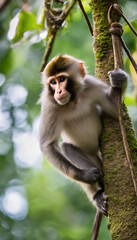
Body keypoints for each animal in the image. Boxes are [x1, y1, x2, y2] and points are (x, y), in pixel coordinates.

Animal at [39, 55, 128, 237]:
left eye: (62, 79)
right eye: (52, 82)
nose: (58, 92)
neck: (73, 101)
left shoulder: (91, 86)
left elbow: (114, 111)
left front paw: (119, 79)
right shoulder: (50, 104)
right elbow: (47, 145)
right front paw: (86, 175)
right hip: (95, 161)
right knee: (67, 147)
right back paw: (97, 194)